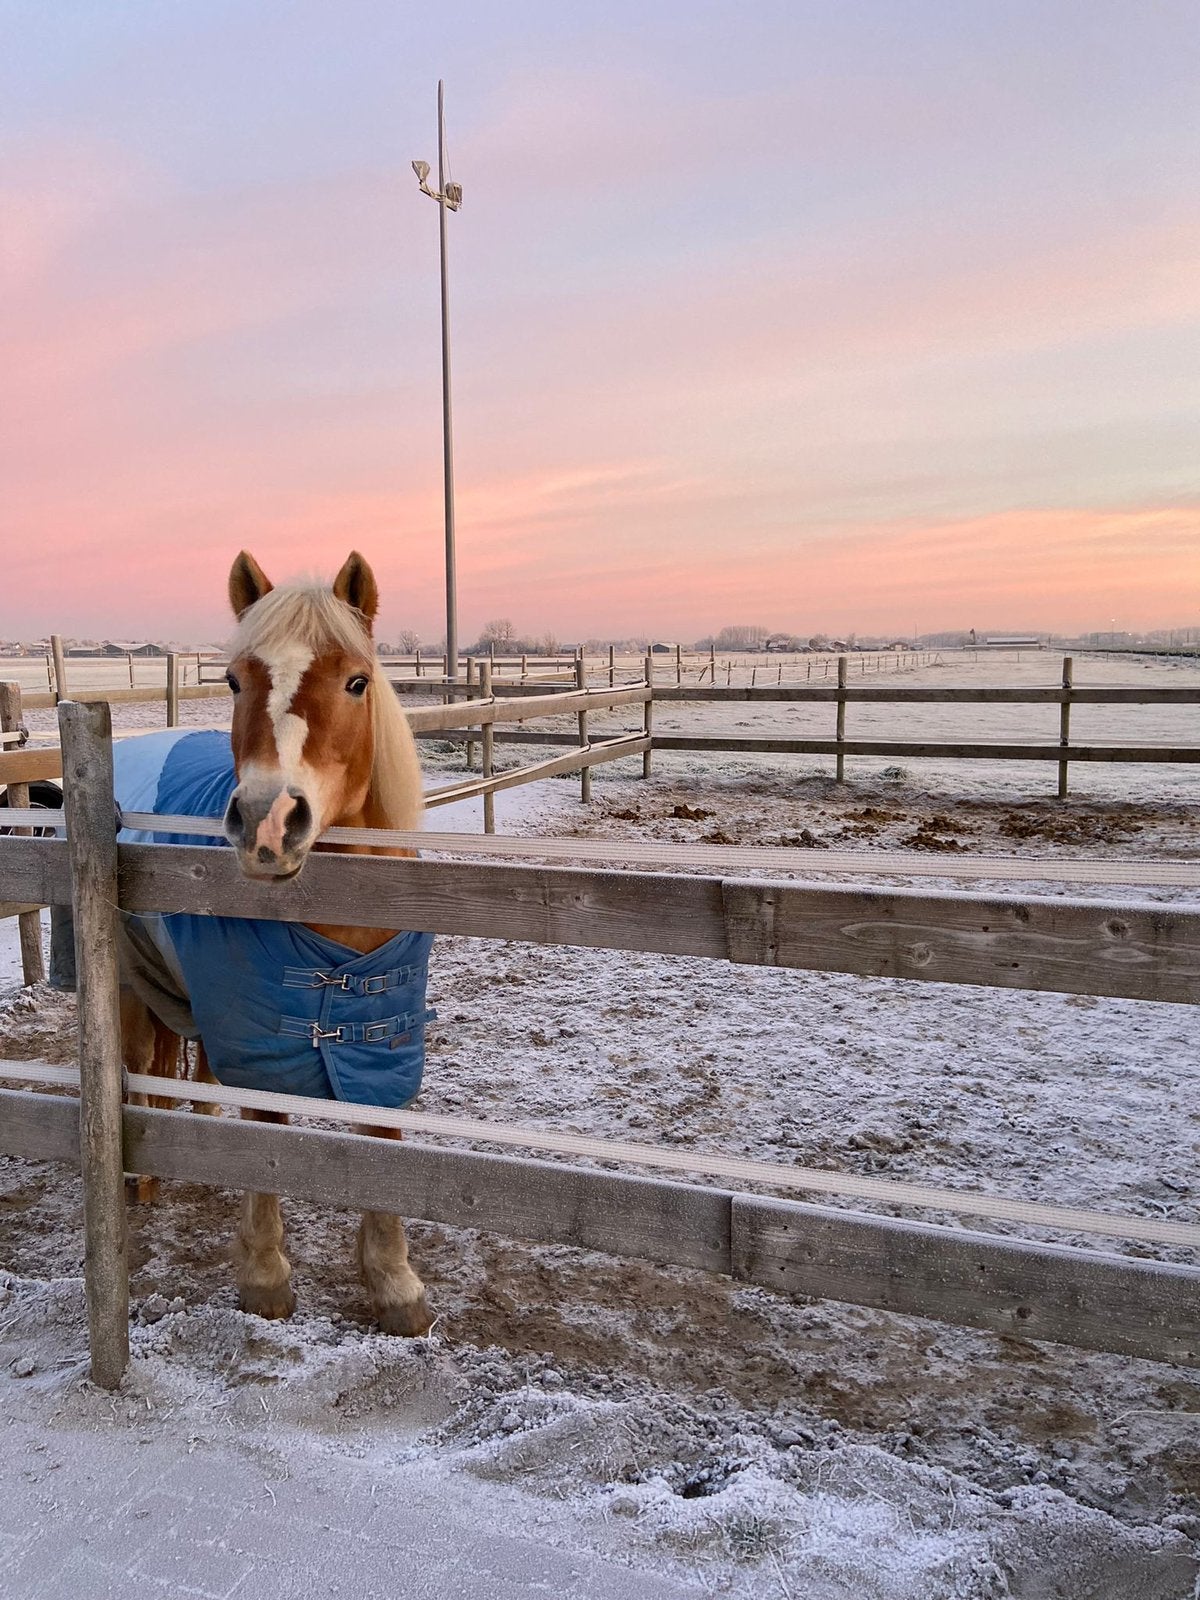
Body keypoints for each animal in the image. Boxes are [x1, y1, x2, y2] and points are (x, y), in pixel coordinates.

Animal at [116, 550, 435, 1335]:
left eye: (357, 681)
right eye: (233, 680)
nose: (266, 821)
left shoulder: (381, 1029)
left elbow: (379, 1129)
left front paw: (394, 1282)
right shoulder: (261, 1027)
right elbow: (266, 1127)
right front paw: (264, 1274)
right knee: (136, 1065)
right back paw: (141, 1175)